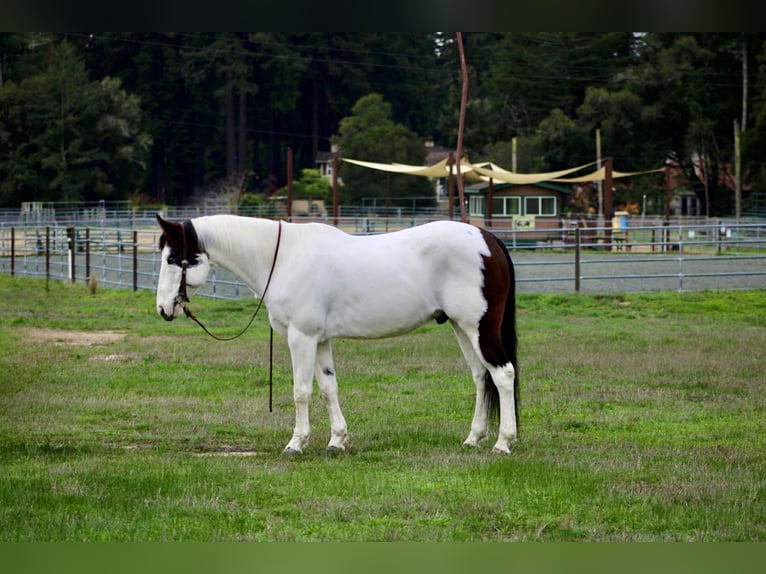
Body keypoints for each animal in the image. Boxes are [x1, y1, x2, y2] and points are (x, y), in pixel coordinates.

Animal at [155, 214, 519, 454]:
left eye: (173, 258)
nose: (163, 309)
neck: (283, 258)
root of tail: (487, 240)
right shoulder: (320, 340)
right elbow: (329, 388)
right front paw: (337, 441)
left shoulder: (301, 337)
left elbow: (301, 391)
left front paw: (296, 443)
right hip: (461, 327)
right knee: (481, 377)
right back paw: (473, 438)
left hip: (479, 327)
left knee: (503, 375)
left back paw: (503, 443)